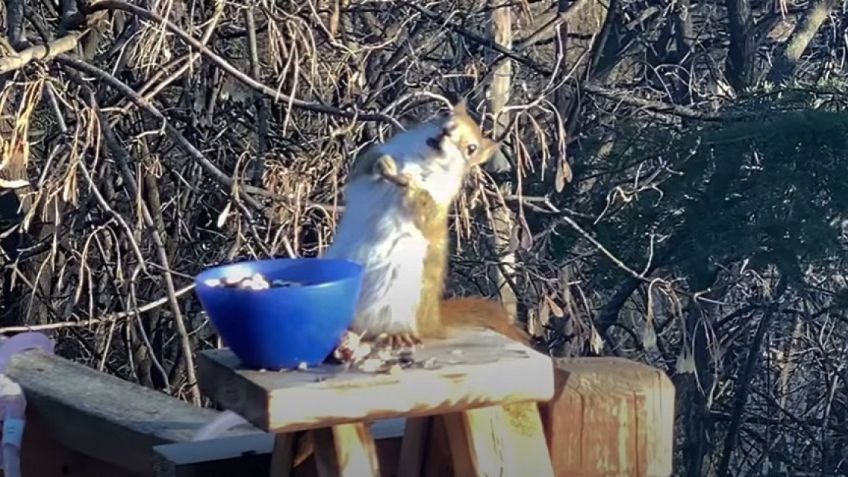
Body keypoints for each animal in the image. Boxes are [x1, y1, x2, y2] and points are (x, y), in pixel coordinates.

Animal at [324, 100, 529, 347]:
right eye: (445, 115)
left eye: (471, 148)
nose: (445, 132)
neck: (422, 159)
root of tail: (431, 321)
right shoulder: (375, 157)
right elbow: (365, 165)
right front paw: (384, 164)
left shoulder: (439, 203)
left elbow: (425, 210)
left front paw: (411, 184)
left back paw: (395, 334)